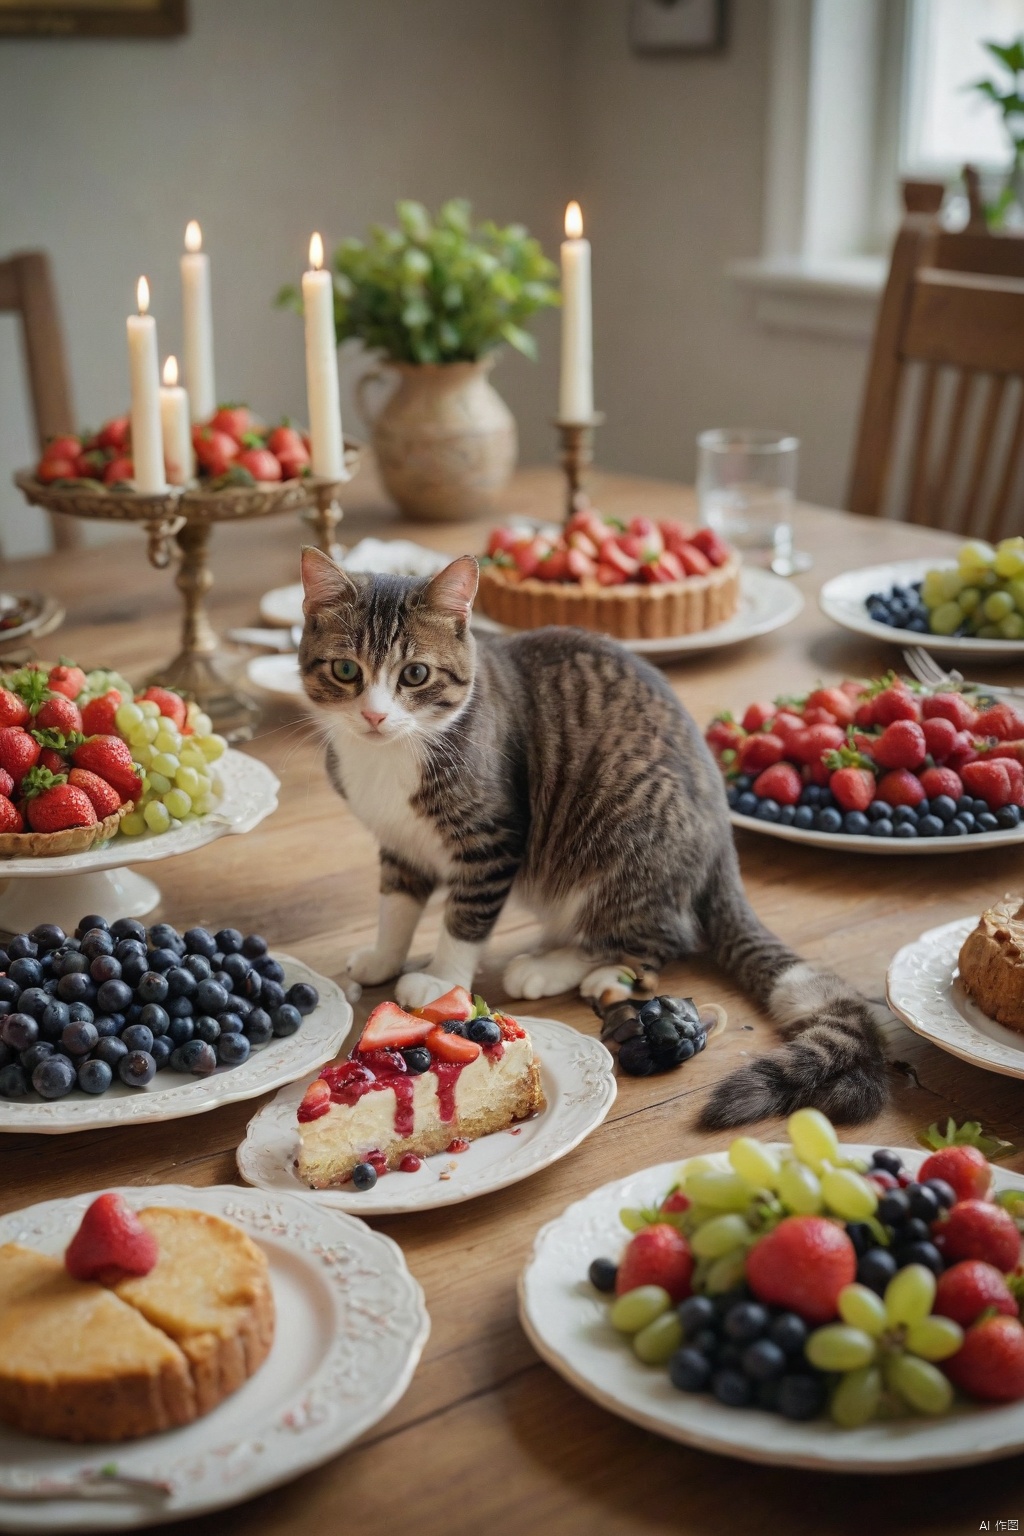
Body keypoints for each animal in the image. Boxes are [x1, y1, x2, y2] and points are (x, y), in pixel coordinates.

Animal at [297, 546, 890, 1124]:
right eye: (346, 669)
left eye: (416, 674)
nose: (375, 716)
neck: (389, 756)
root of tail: (723, 838)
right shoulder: (400, 843)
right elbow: (396, 904)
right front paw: (385, 956)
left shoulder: (494, 836)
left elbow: (465, 917)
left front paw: (444, 982)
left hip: (625, 841)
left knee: (659, 936)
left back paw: (555, 967)